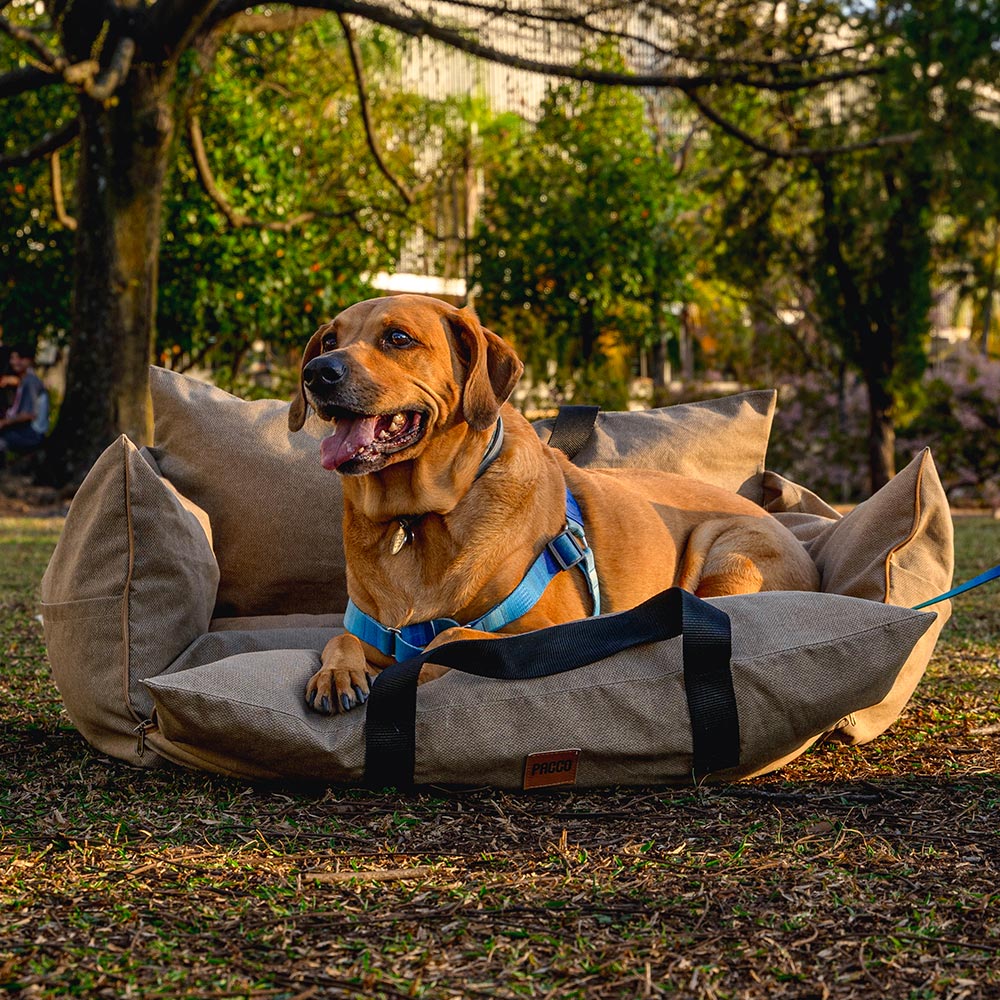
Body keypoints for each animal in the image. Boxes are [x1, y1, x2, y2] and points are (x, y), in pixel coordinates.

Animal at [290, 292, 820, 716]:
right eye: (330, 340)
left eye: (398, 338)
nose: (317, 372)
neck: (417, 519)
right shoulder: (375, 630)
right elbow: (341, 638)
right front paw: (337, 674)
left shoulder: (550, 628)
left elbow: (448, 639)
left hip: (725, 549)